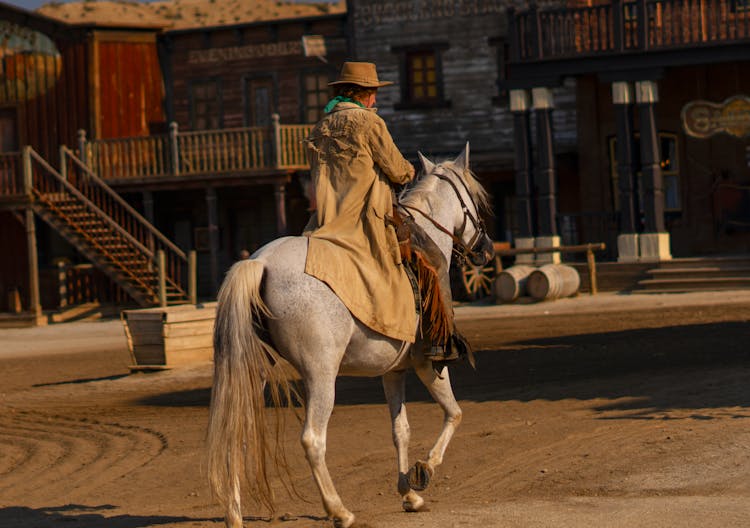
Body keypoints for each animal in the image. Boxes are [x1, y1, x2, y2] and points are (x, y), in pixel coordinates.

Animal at [209, 144, 496, 528]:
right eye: (476, 201)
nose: (487, 249)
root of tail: (260, 263)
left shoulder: (394, 371)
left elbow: (400, 429)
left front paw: (409, 494)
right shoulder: (427, 363)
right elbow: (455, 413)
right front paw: (424, 470)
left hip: (254, 371)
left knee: (236, 431)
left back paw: (234, 514)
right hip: (321, 375)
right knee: (313, 440)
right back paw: (339, 510)